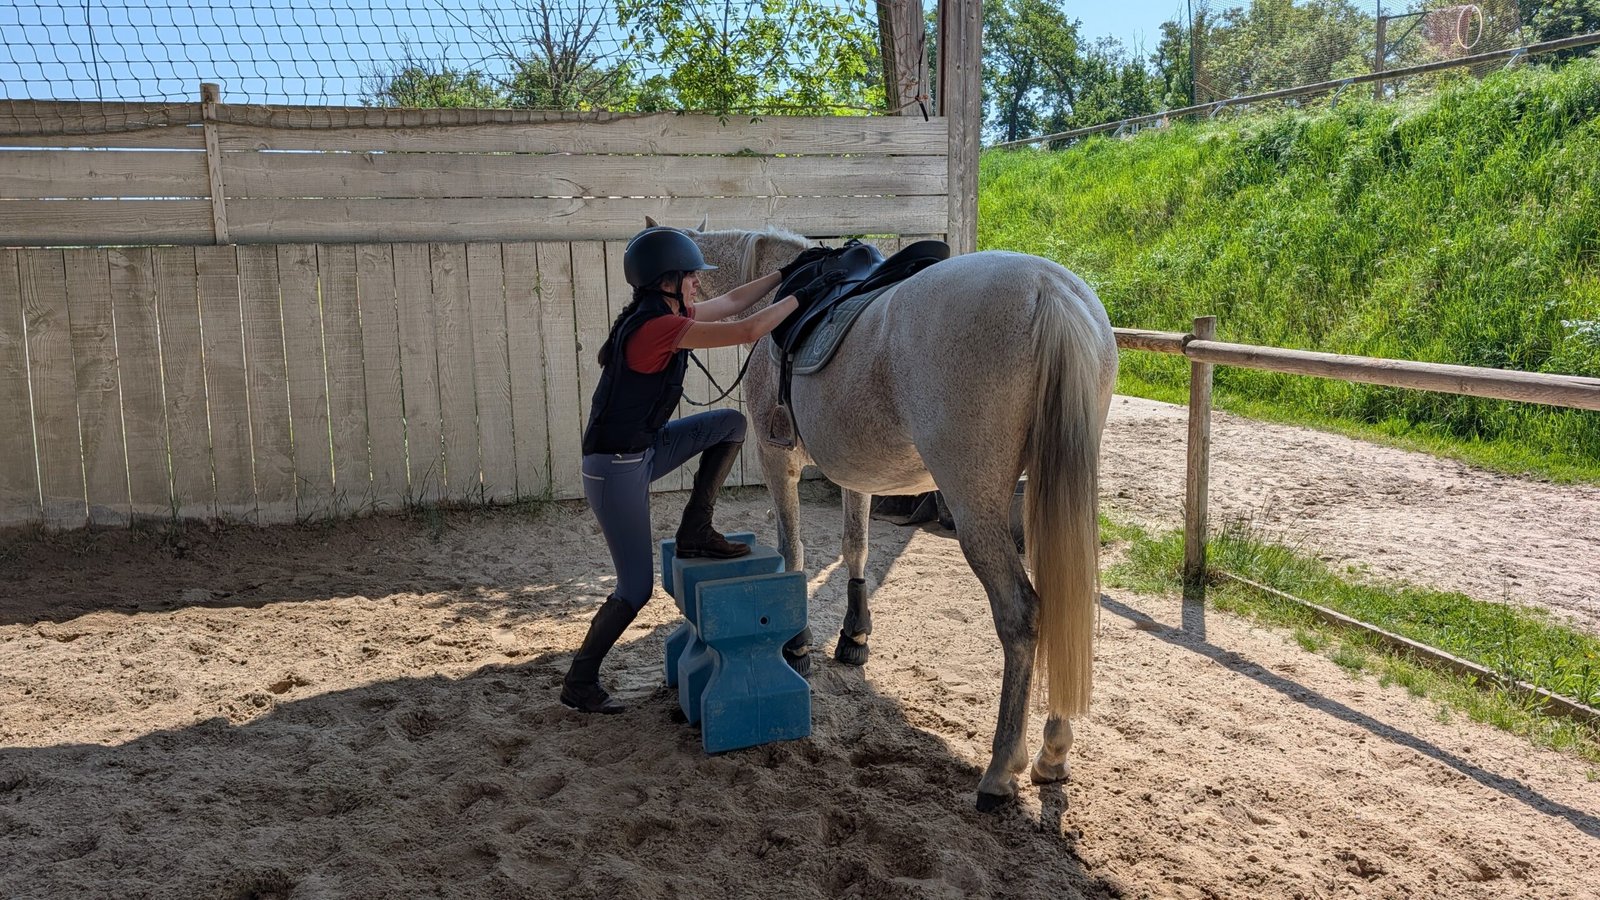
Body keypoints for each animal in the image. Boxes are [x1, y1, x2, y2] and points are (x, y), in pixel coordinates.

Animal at [662, 217, 1118, 811]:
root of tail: (1050, 290)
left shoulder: (775, 457)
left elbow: (792, 550)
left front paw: (798, 645)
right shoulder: (859, 475)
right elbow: (854, 546)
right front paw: (854, 637)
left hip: (976, 506)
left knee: (1021, 615)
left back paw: (1000, 770)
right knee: (1063, 599)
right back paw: (1052, 754)